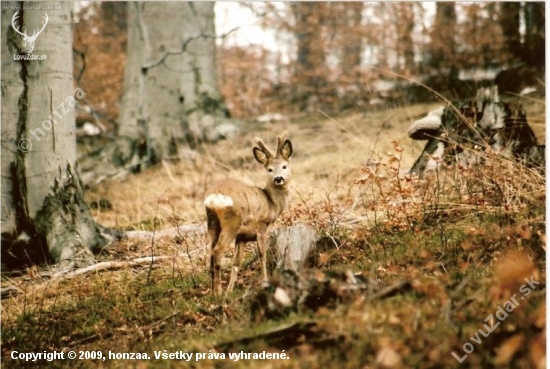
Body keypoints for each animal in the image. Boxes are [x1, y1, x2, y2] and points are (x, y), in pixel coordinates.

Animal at [205, 131, 294, 294]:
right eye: (269, 169)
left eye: (284, 166)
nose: (278, 178)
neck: (271, 202)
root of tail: (215, 196)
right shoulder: (261, 227)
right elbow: (262, 255)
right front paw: (265, 281)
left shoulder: (242, 237)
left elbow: (236, 264)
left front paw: (230, 291)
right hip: (231, 222)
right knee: (217, 251)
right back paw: (218, 293)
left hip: (212, 222)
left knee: (211, 252)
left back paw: (214, 292)